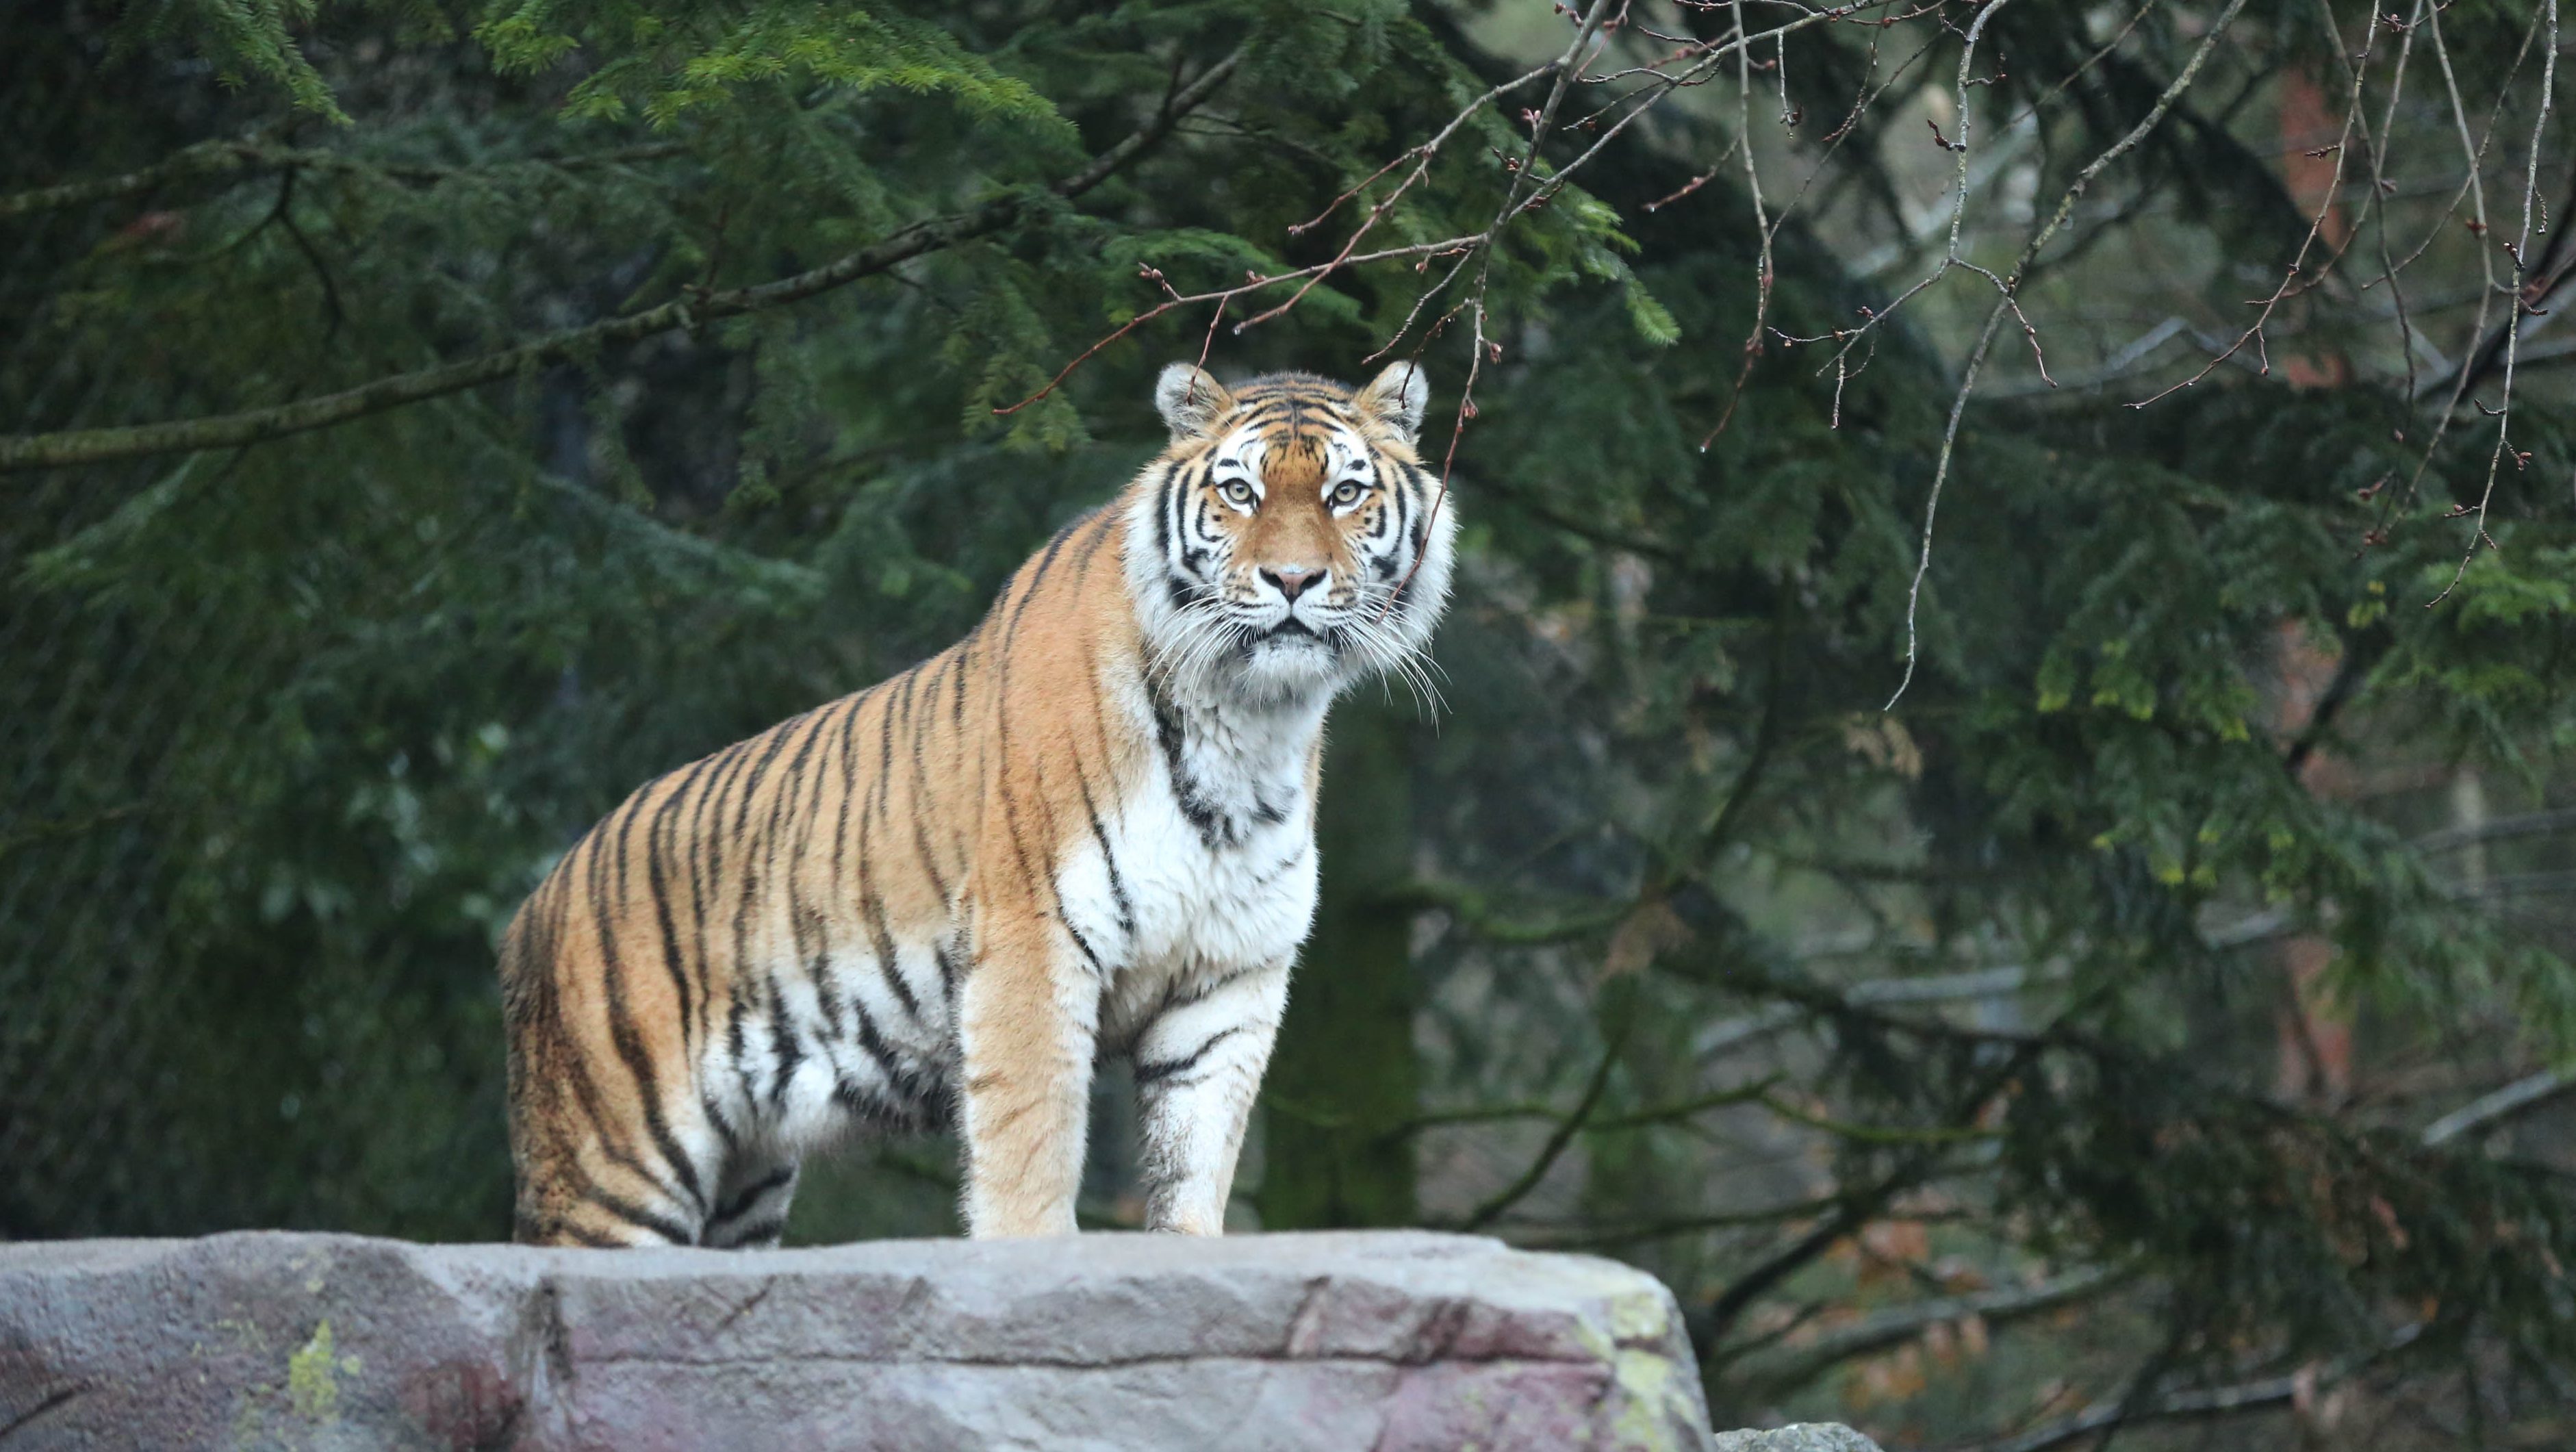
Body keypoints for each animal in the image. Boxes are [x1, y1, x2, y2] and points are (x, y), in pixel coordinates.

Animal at [497, 363, 1453, 1246]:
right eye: (1239, 492)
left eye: (1344, 493)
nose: (1291, 580)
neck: (1252, 722)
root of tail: (536, 901)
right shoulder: (1033, 941)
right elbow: (1032, 1151)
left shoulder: (1227, 983)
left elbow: (1193, 1170)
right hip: (616, 1169)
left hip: (745, 1183)